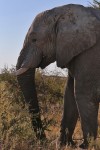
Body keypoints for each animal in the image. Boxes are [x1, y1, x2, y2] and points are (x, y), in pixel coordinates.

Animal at [15, 3, 100, 149]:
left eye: (34, 39)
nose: (43, 141)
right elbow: (69, 94)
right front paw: (64, 144)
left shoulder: (92, 52)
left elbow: (83, 94)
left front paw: (85, 146)